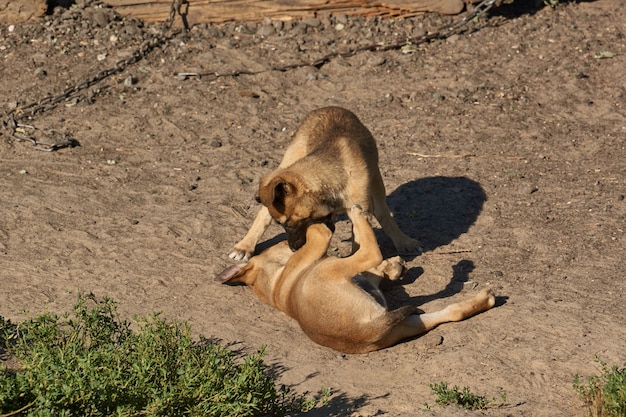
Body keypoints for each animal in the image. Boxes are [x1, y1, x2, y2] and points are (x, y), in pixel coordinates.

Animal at [217, 205, 494, 352]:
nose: (294, 244)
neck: (275, 281)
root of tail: (364, 331)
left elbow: (375, 272)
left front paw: (394, 267)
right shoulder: (320, 252)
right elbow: (332, 239)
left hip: (408, 323)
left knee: (452, 312)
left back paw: (484, 300)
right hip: (334, 273)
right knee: (370, 251)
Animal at [228, 105, 420, 260]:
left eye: (291, 224)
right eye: (283, 225)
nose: (294, 249)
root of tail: (330, 107)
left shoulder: (360, 212)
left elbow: (361, 239)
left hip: (376, 180)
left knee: (383, 212)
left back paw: (404, 241)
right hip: (287, 162)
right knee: (263, 211)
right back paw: (244, 246)